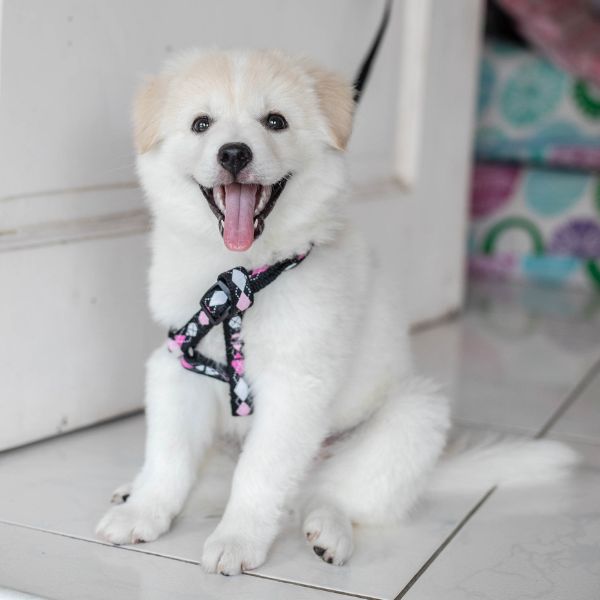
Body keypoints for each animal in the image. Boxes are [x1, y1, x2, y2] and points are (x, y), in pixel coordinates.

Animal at [97, 49, 576, 576]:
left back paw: (330, 533)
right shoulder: (178, 363)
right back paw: (134, 492)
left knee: (330, 497)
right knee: (219, 480)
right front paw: (144, 512)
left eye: (276, 121)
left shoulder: (296, 388)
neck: (242, 279)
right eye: (201, 123)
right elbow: (169, 456)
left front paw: (237, 540)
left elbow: (258, 475)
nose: (234, 154)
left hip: (414, 416)